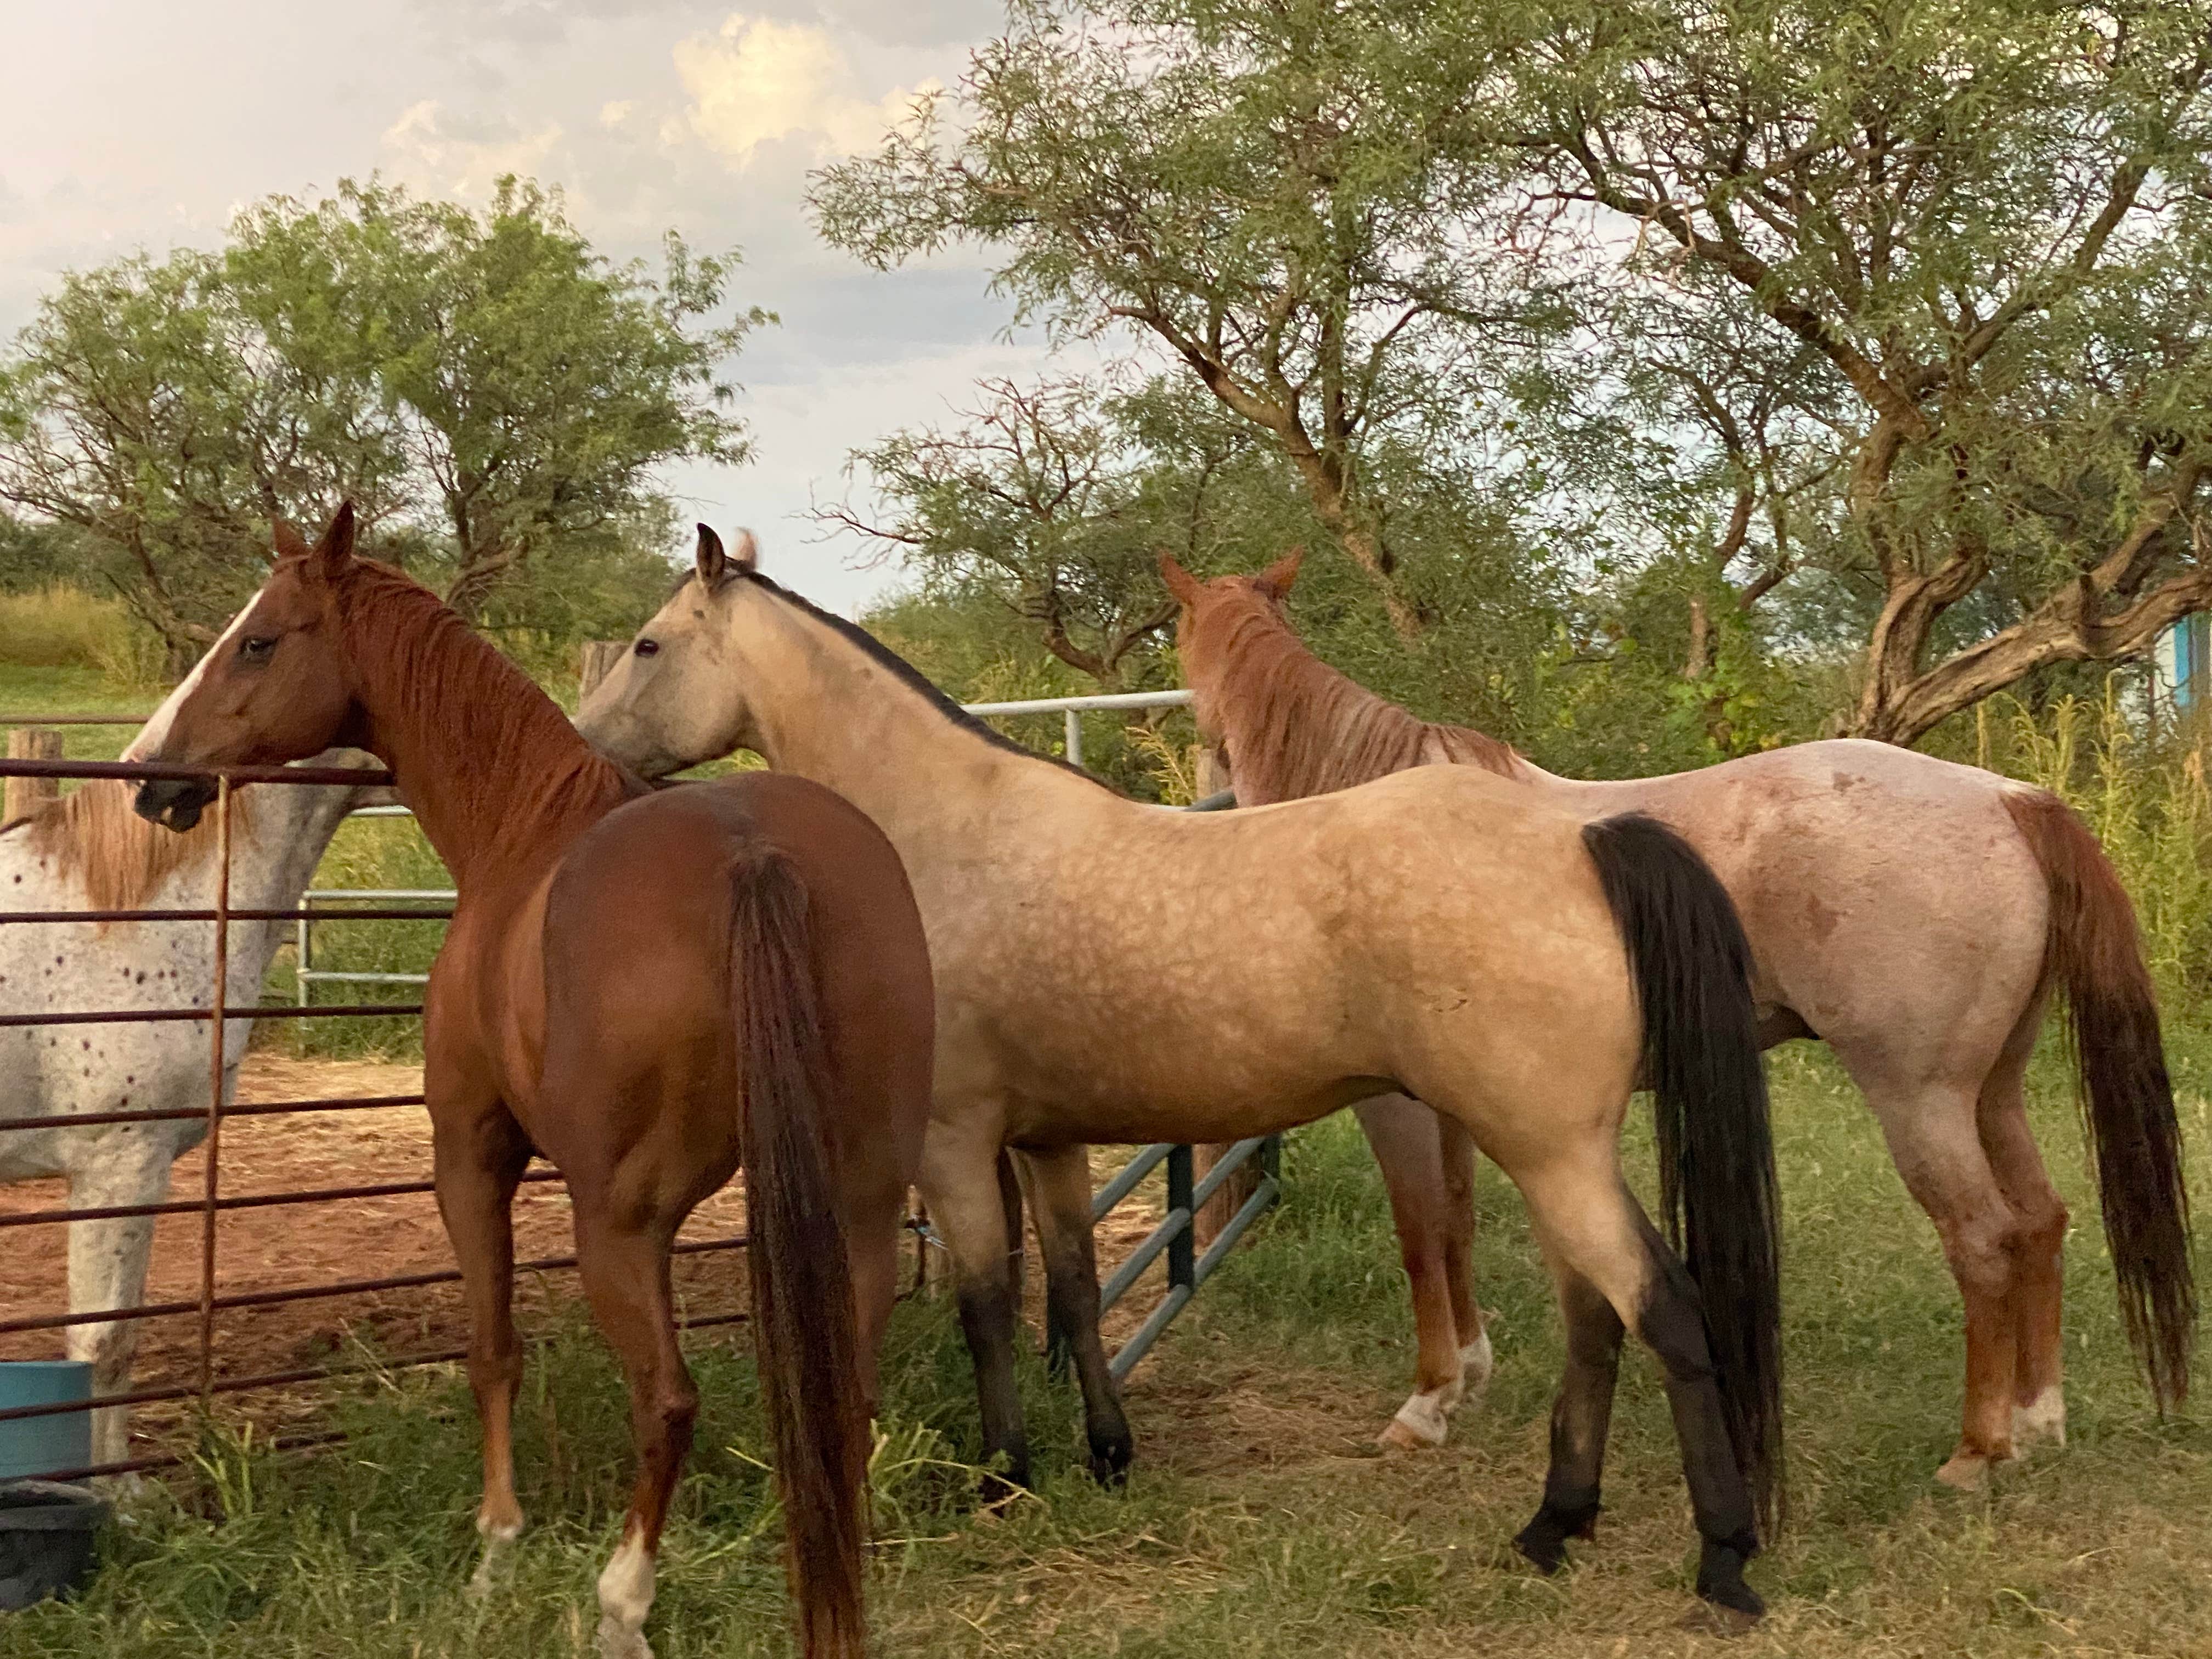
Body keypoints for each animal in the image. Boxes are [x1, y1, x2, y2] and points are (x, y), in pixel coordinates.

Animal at [126, 506, 935, 1659]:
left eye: (259, 641)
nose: (153, 776)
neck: (520, 827)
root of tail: (752, 851)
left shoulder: (471, 1151)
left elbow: (494, 1345)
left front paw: (495, 1546)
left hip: (620, 1222)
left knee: (666, 1399)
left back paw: (620, 1602)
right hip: (859, 1201)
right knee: (843, 1382)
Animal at [577, 526, 1788, 1619]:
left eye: (646, 645)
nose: (590, 754)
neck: (953, 834)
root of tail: (1579, 842)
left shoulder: (956, 1141)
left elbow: (988, 1304)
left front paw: (1006, 1478)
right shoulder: (1049, 1139)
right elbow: (1072, 1291)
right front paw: (1107, 1454)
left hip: (1550, 1153)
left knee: (1663, 1308)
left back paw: (1722, 1559)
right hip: (1545, 1154)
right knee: (1595, 1319)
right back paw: (1553, 1525)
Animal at [1163, 548, 2196, 1490]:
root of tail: (2007, 798)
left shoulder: (1396, 1106)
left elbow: (1419, 1232)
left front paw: (1423, 1405)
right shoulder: (1452, 1103)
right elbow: (1454, 1222)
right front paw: (1467, 1377)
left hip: (1922, 1100)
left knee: (1983, 1240)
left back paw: (1975, 1452)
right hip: (1992, 1090)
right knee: (2040, 1221)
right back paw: (2036, 1421)